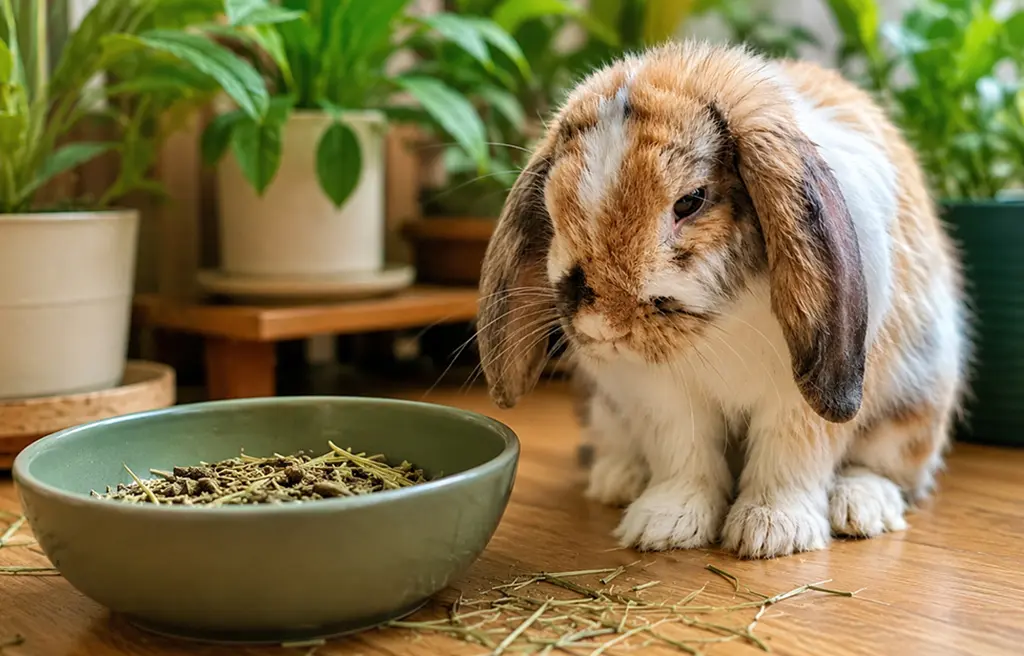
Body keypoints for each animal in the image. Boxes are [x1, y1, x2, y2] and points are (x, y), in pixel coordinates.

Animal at [475, 40, 971, 559]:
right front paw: (664, 525)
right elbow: (683, 454)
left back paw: (862, 509)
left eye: (690, 201)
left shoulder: (797, 403)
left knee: (890, 469)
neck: (723, 320)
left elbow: (791, 455)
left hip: (913, 408)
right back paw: (618, 481)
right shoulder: (664, 397)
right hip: (606, 410)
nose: (602, 325)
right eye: (552, 212)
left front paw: (771, 532)